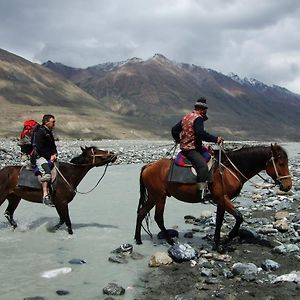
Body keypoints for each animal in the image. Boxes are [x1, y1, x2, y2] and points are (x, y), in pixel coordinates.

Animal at [135, 143, 292, 251]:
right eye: (280, 163)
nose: (288, 186)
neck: (230, 169)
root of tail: (149, 165)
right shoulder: (222, 198)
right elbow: (239, 217)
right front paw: (227, 239)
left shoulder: (221, 200)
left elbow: (219, 221)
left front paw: (217, 243)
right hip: (160, 196)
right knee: (158, 217)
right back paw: (170, 241)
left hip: (154, 196)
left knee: (142, 213)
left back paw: (138, 239)